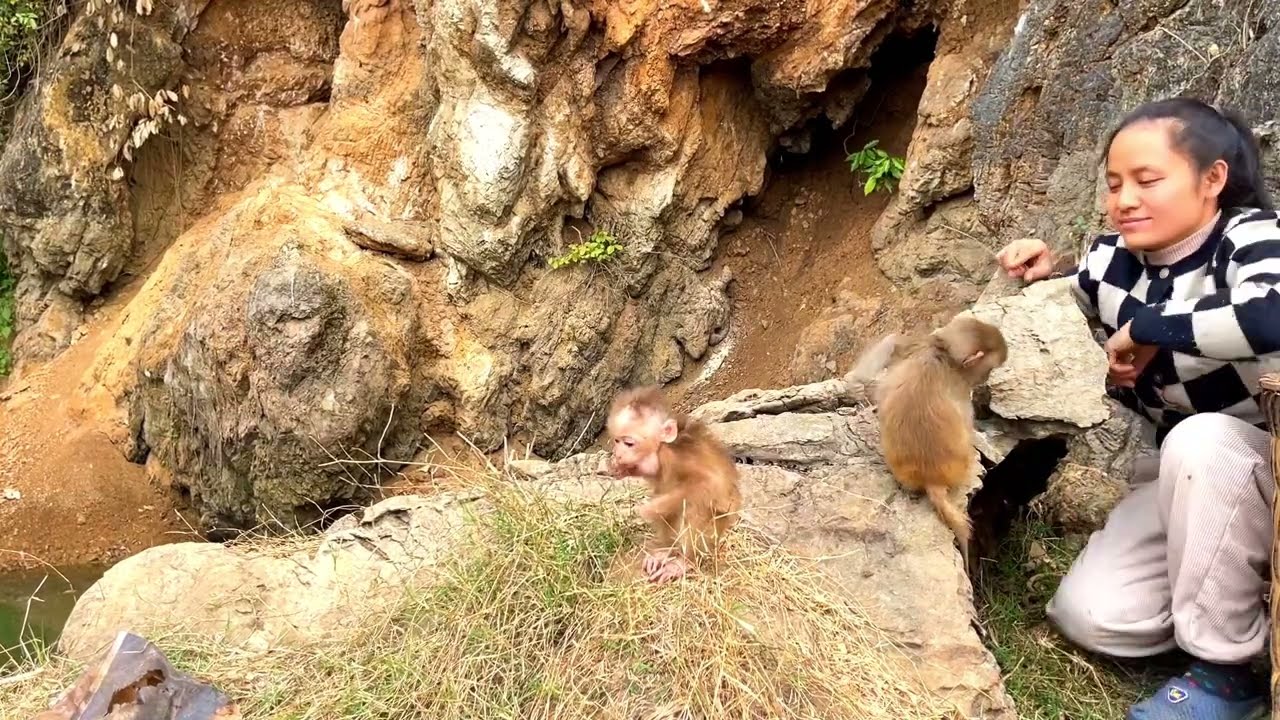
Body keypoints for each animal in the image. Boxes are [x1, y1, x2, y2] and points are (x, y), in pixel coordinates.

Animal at [605, 386, 742, 583]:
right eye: (617, 441)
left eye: (629, 443)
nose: (619, 454)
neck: (661, 450)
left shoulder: (676, 459)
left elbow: (709, 483)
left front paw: (651, 508)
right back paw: (667, 551)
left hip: (718, 525)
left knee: (695, 506)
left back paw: (685, 561)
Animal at [851, 315, 1008, 572]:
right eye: (990, 367)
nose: (986, 379)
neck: (944, 355)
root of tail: (931, 478)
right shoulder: (961, 389)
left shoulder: (918, 344)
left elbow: (892, 342)